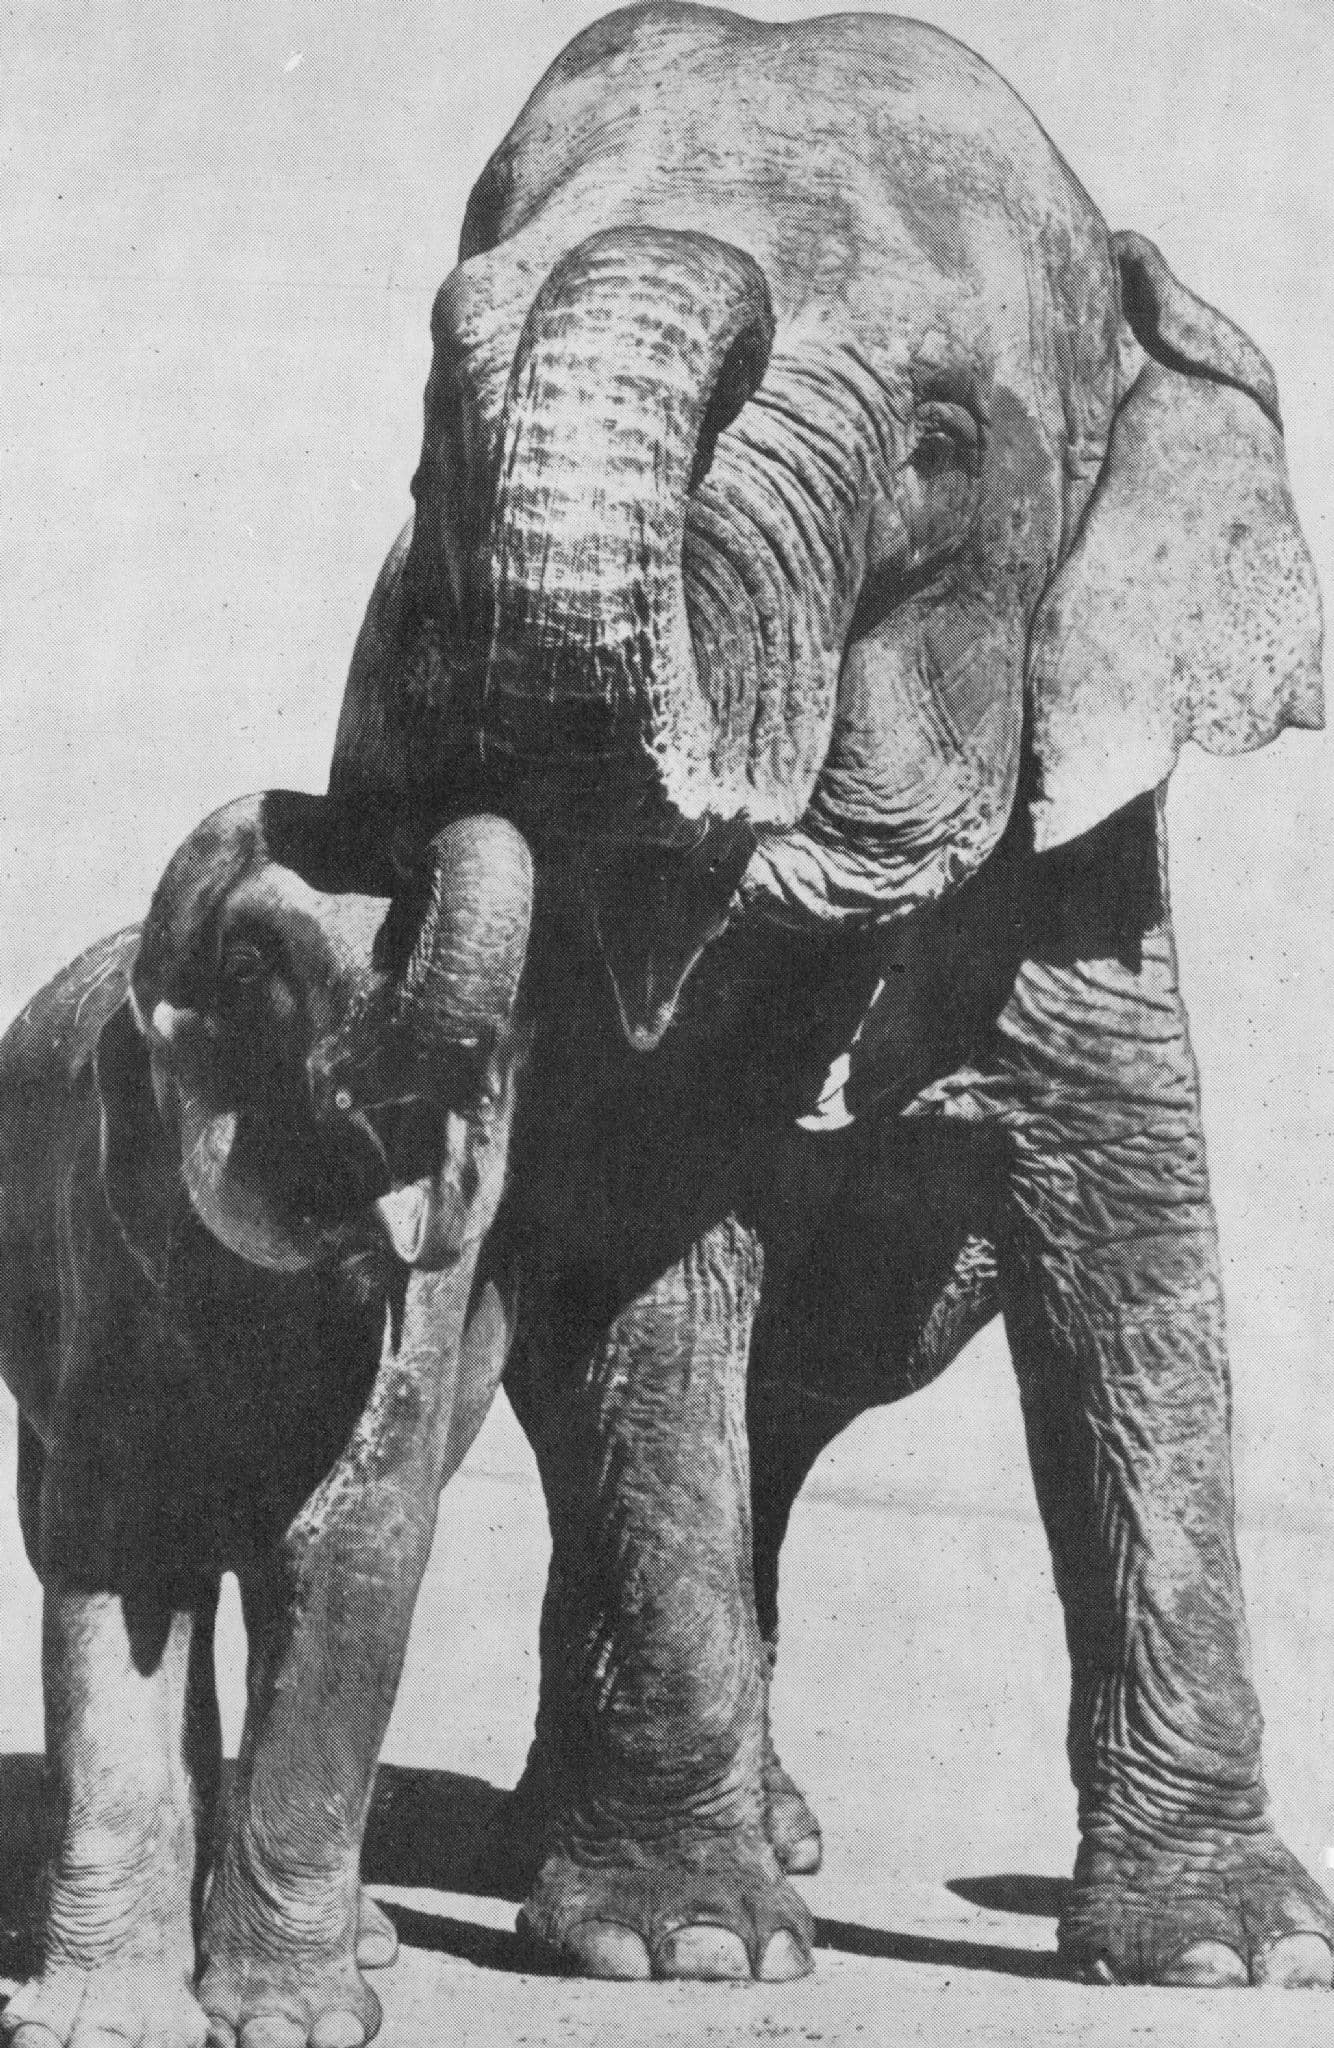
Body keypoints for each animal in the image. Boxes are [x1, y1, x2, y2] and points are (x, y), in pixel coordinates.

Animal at [0, 792, 533, 2048]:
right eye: (250, 967)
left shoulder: (434, 1297)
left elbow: (354, 1550)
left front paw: (298, 2024)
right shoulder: (111, 1229)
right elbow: (119, 1559)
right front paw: (99, 2027)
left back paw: (365, 1937)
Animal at [325, 0, 1333, 1992]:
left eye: (940, 441)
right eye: (441, 372)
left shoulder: (1086, 889)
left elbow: (1134, 1287)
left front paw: (1225, 1957)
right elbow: (648, 1263)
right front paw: (689, 1949)